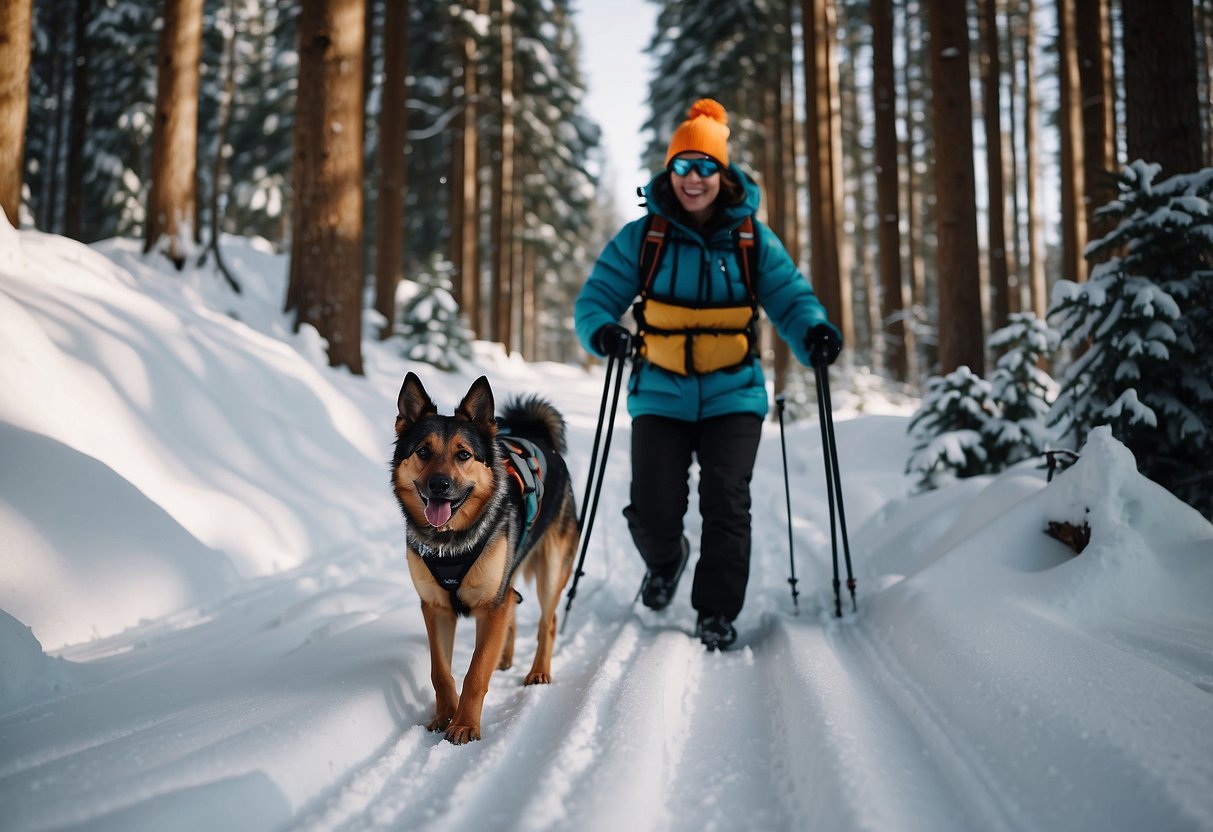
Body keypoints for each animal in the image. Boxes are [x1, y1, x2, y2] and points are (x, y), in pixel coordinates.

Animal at [388, 375, 577, 747]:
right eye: (423, 451)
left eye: (463, 454)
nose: (439, 484)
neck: (449, 543)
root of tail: (540, 439)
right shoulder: (435, 608)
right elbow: (440, 671)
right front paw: (444, 716)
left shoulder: (492, 604)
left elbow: (475, 672)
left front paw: (464, 725)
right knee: (514, 607)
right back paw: (504, 658)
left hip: (550, 569)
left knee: (547, 621)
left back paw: (538, 671)